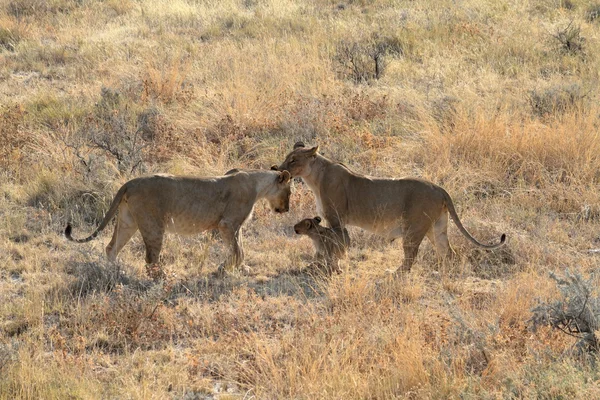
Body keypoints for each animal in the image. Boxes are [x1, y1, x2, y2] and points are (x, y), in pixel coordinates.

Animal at [64, 169, 292, 276]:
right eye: (290, 192)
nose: (287, 209)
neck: (257, 184)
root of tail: (130, 182)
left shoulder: (236, 226)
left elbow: (240, 249)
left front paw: (241, 269)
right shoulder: (228, 224)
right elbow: (237, 251)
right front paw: (224, 269)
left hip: (128, 221)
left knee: (111, 247)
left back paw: (116, 273)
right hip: (153, 224)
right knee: (151, 258)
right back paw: (163, 278)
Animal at [278, 142, 506, 274]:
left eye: (293, 160)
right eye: (287, 158)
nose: (277, 169)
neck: (315, 178)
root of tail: (440, 188)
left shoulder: (335, 219)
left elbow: (335, 243)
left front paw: (330, 267)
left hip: (414, 228)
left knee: (411, 256)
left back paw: (393, 274)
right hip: (437, 227)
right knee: (448, 252)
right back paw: (444, 275)